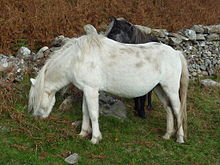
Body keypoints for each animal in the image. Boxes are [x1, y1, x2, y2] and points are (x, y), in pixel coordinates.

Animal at [28, 33, 188, 144]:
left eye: (35, 98)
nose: (37, 118)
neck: (76, 59)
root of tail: (176, 53)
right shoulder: (87, 90)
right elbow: (85, 112)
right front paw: (83, 133)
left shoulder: (91, 90)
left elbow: (93, 114)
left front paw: (95, 138)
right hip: (160, 88)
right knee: (168, 109)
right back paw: (167, 135)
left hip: (171, 89)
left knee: (177, 109)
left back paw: (179, 138)